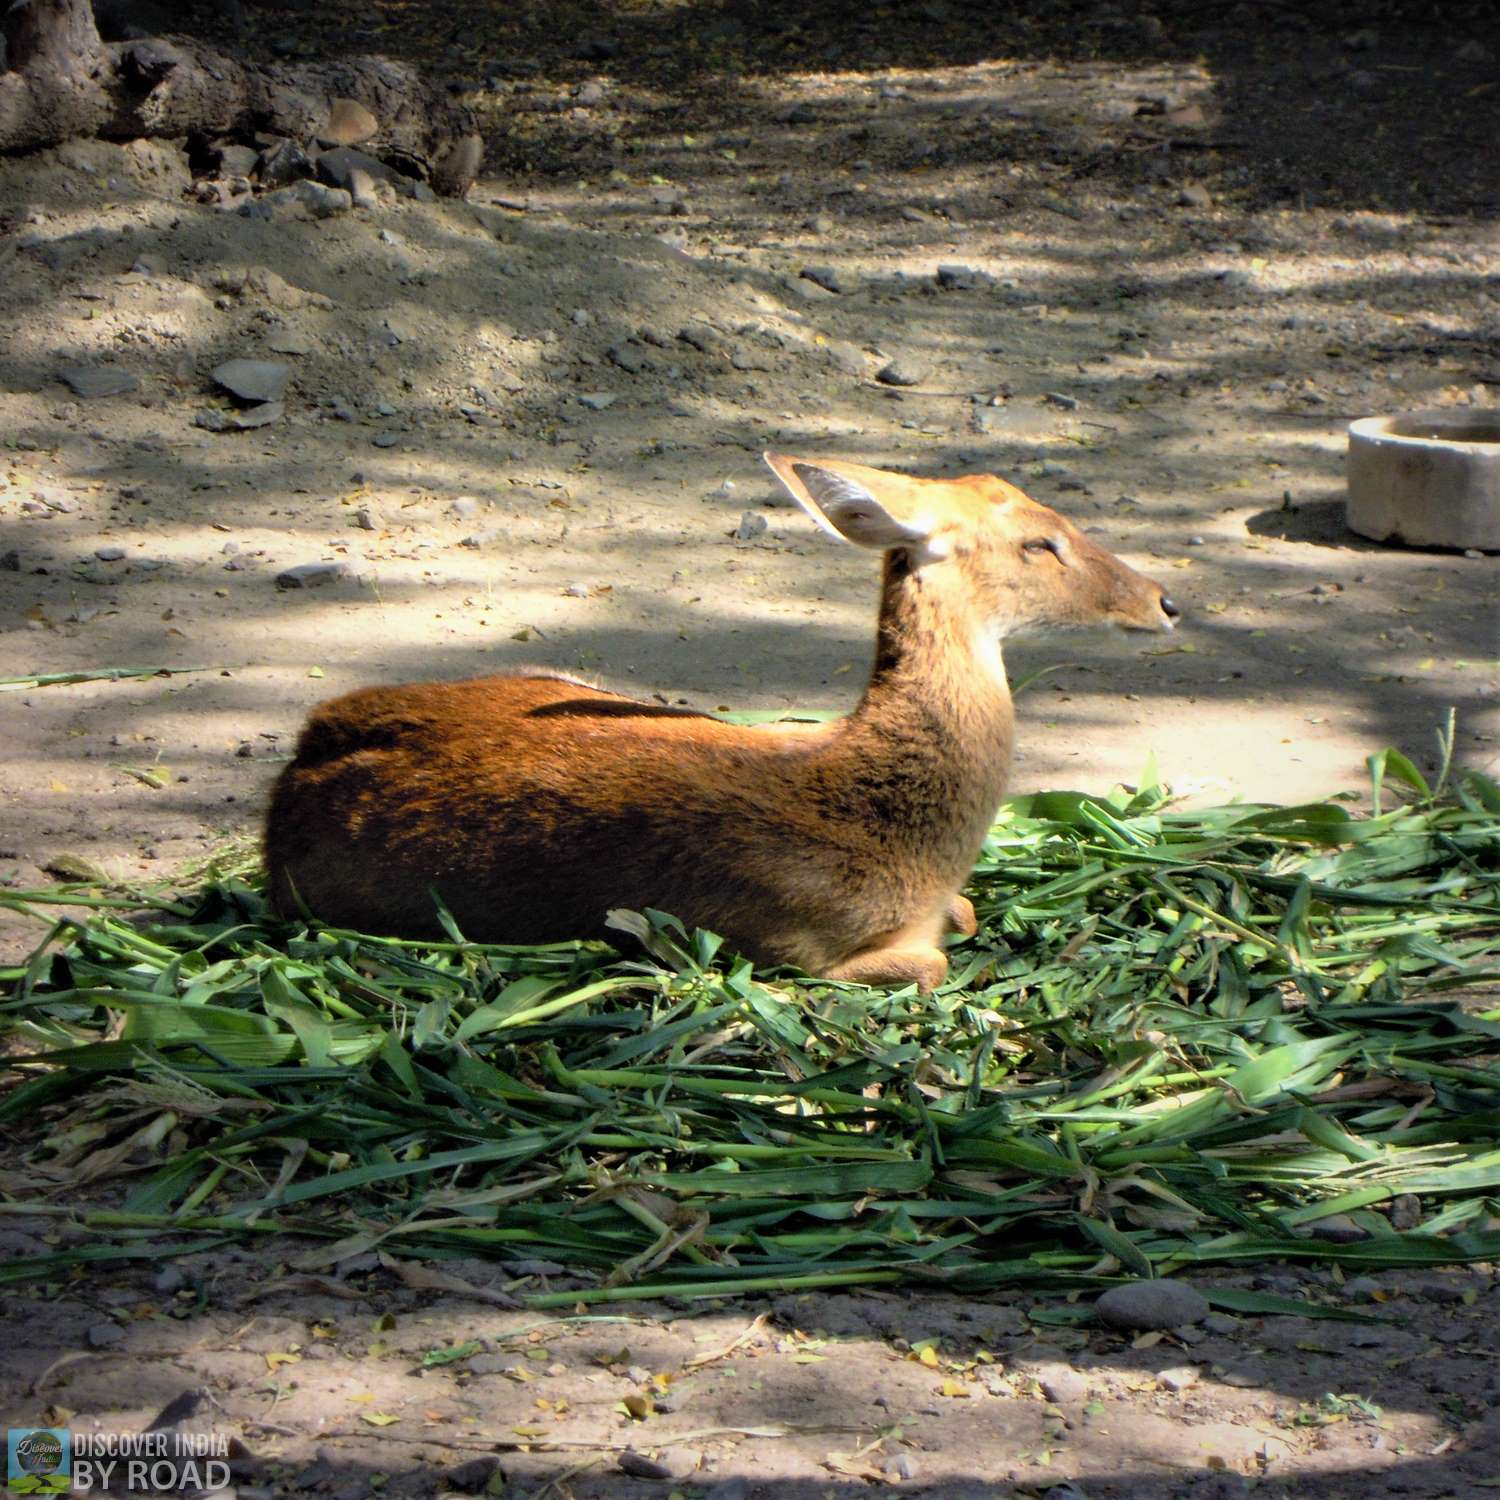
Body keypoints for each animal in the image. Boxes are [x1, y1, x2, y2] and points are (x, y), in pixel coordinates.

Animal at [264, 456, 1176, 996]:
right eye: (1042, 543)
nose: (1164, 600)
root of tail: (291, 777)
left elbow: (967, 915)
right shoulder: (789, 935)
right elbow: (931, 957)